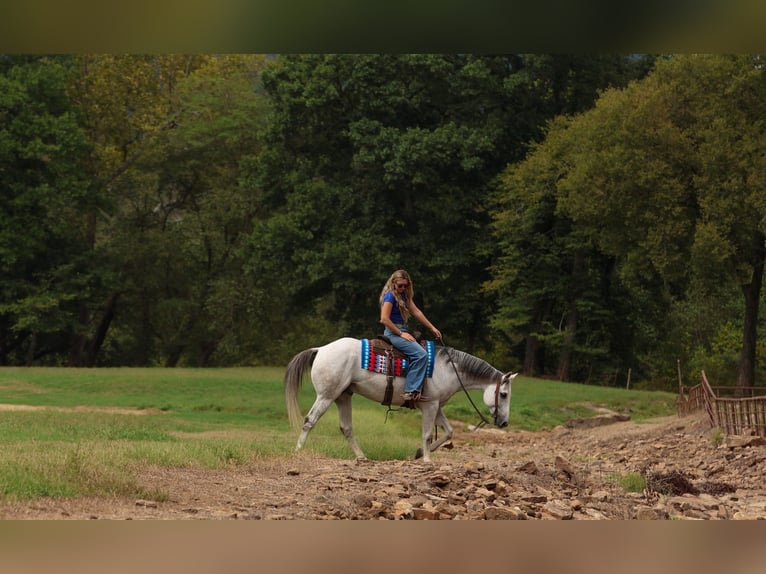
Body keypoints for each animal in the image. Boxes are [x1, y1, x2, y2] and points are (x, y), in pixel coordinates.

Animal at [284, 336, 516, 463]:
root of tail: (321, 349)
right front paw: (427, 459)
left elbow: (449, 432)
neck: (449, 368)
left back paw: (362, 457)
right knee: (309, 421)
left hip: (343, 396)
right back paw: (297, 452)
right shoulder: (430, 406)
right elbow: (427, 434)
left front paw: (418, 454)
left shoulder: (436, 406)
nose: (504, 423)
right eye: (503, 394)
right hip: (326, 396)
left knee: (346, 428)